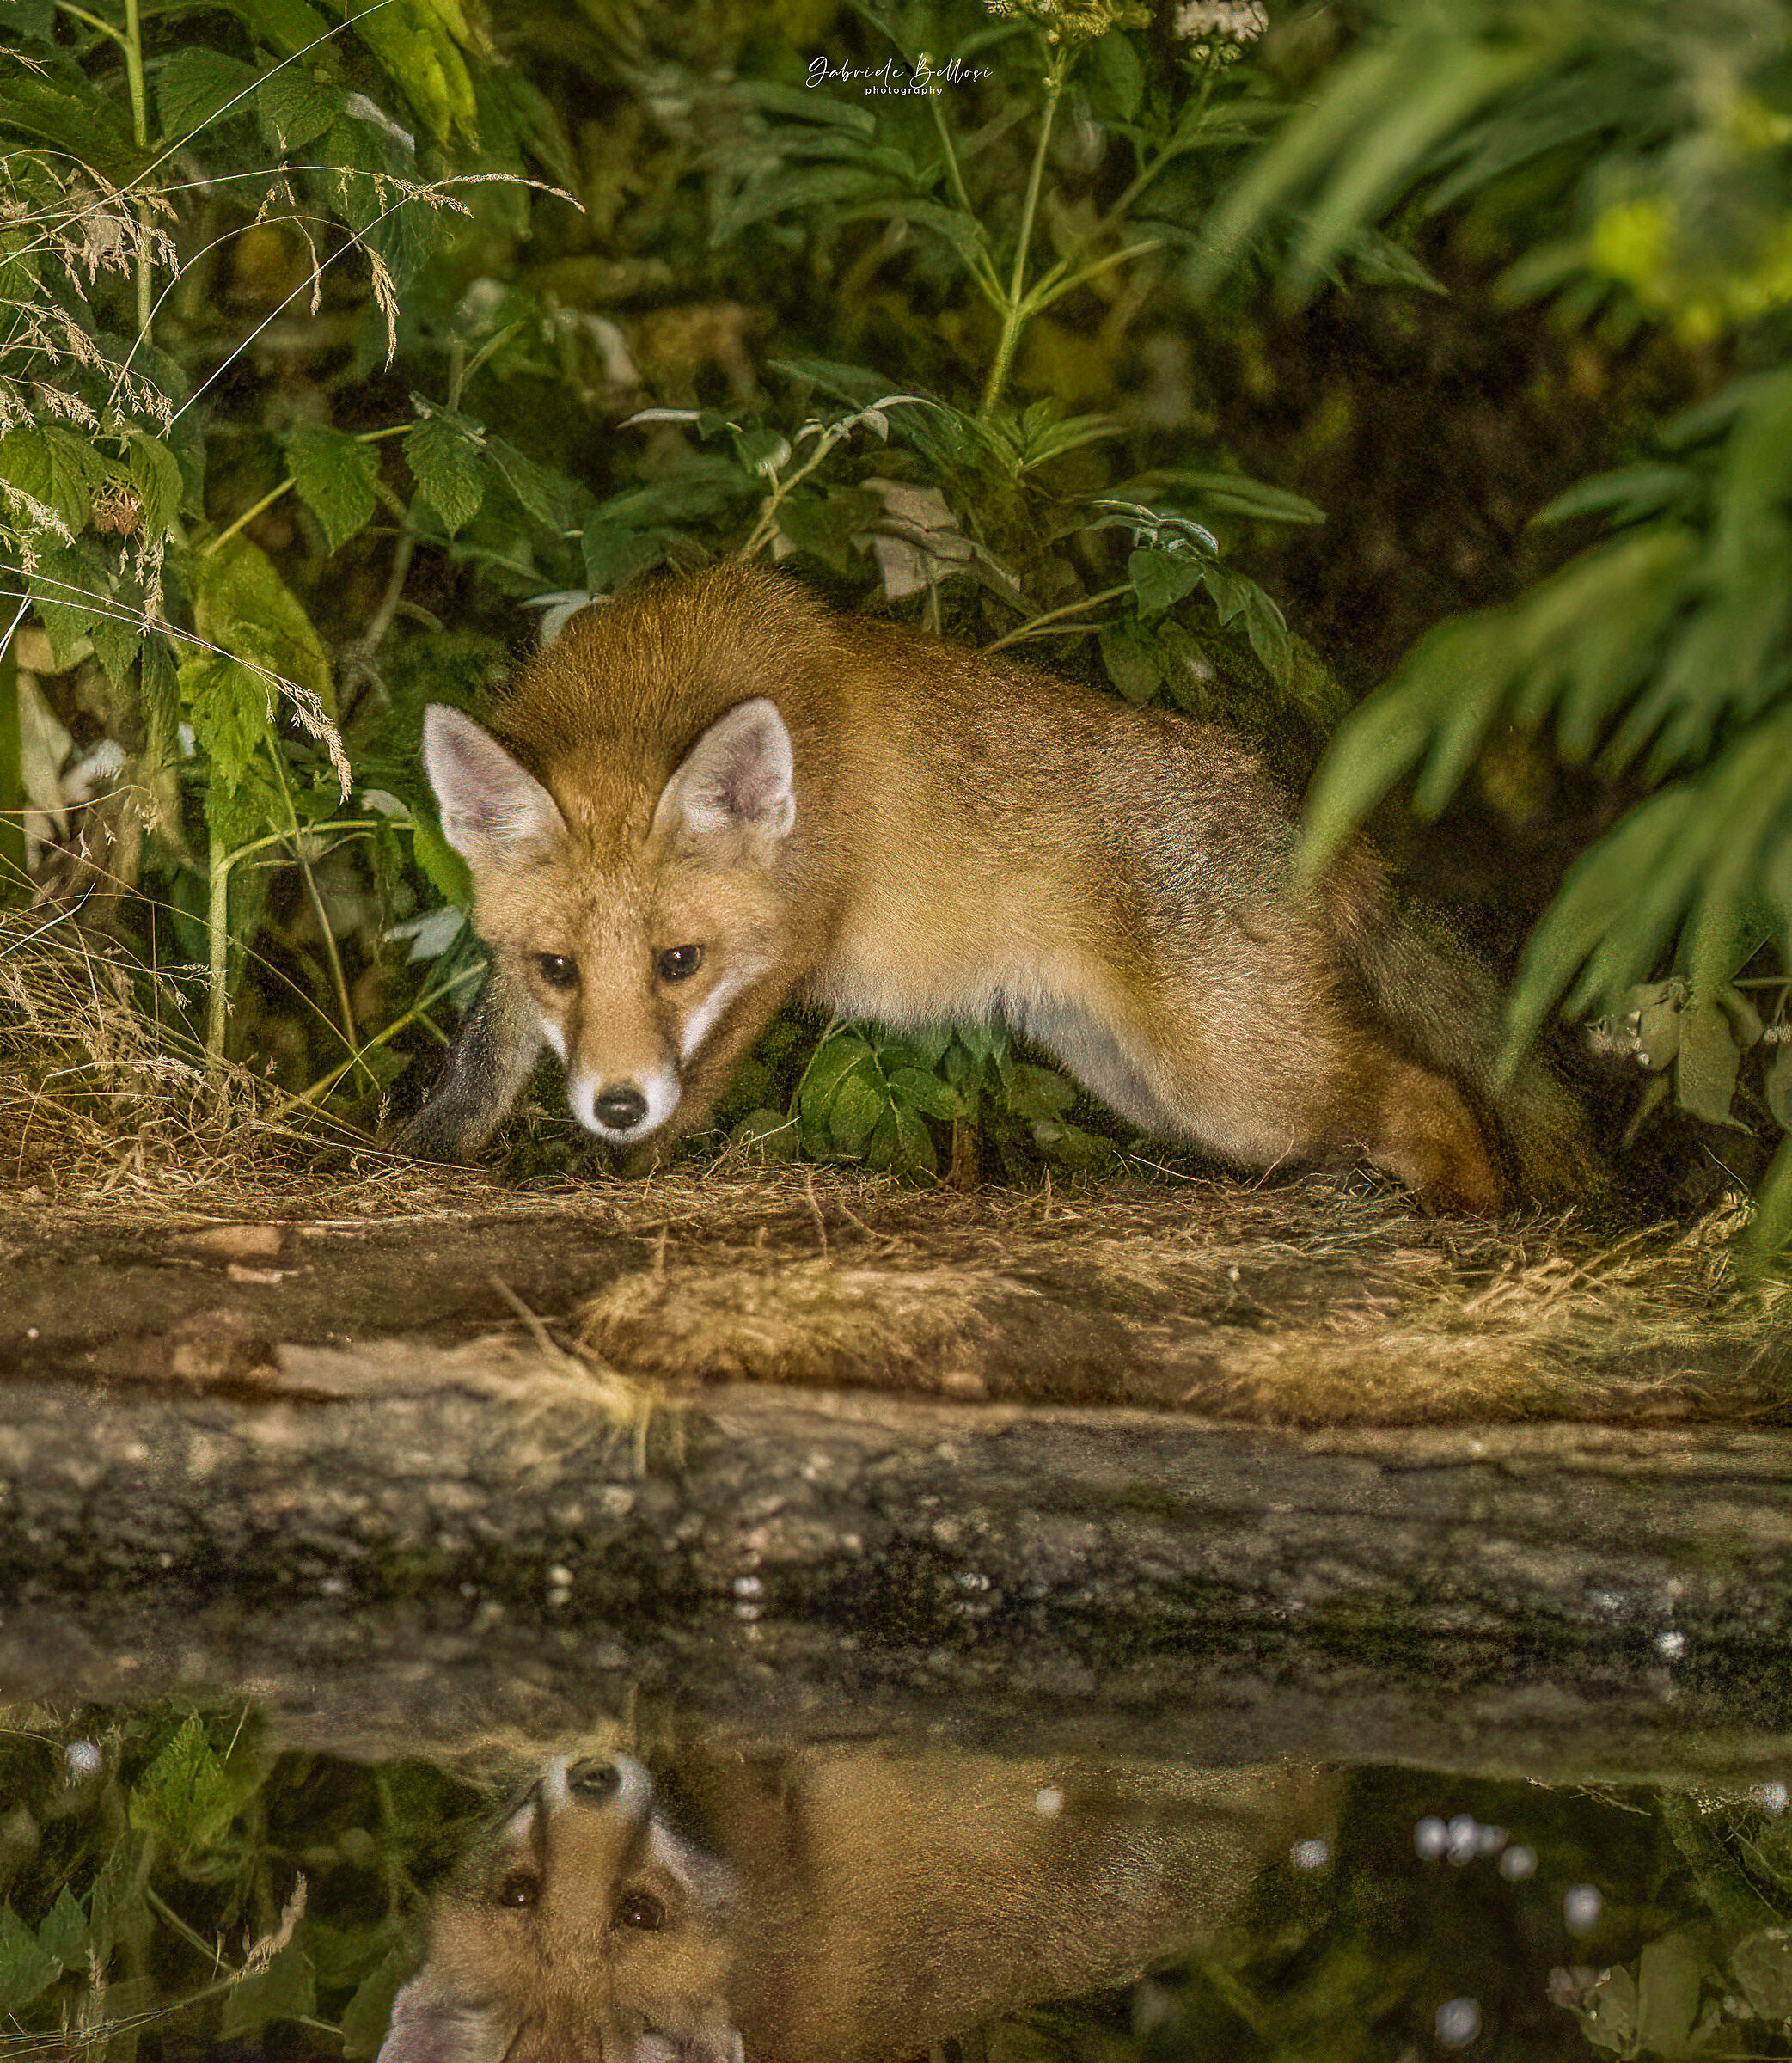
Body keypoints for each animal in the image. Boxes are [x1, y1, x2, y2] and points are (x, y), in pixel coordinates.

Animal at [397, 561, 1592, 1213]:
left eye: (677, 962)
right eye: (557, 967)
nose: (613, 1103)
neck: (650, 693)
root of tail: (1290, 805)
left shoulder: (786, 945)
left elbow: (695, 1092)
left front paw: (629, 1172)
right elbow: (485, 1056)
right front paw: (430, 1147)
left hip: (1236, 1082)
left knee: (1432, 1096)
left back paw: (1472, 1226)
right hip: (1159, 1092)